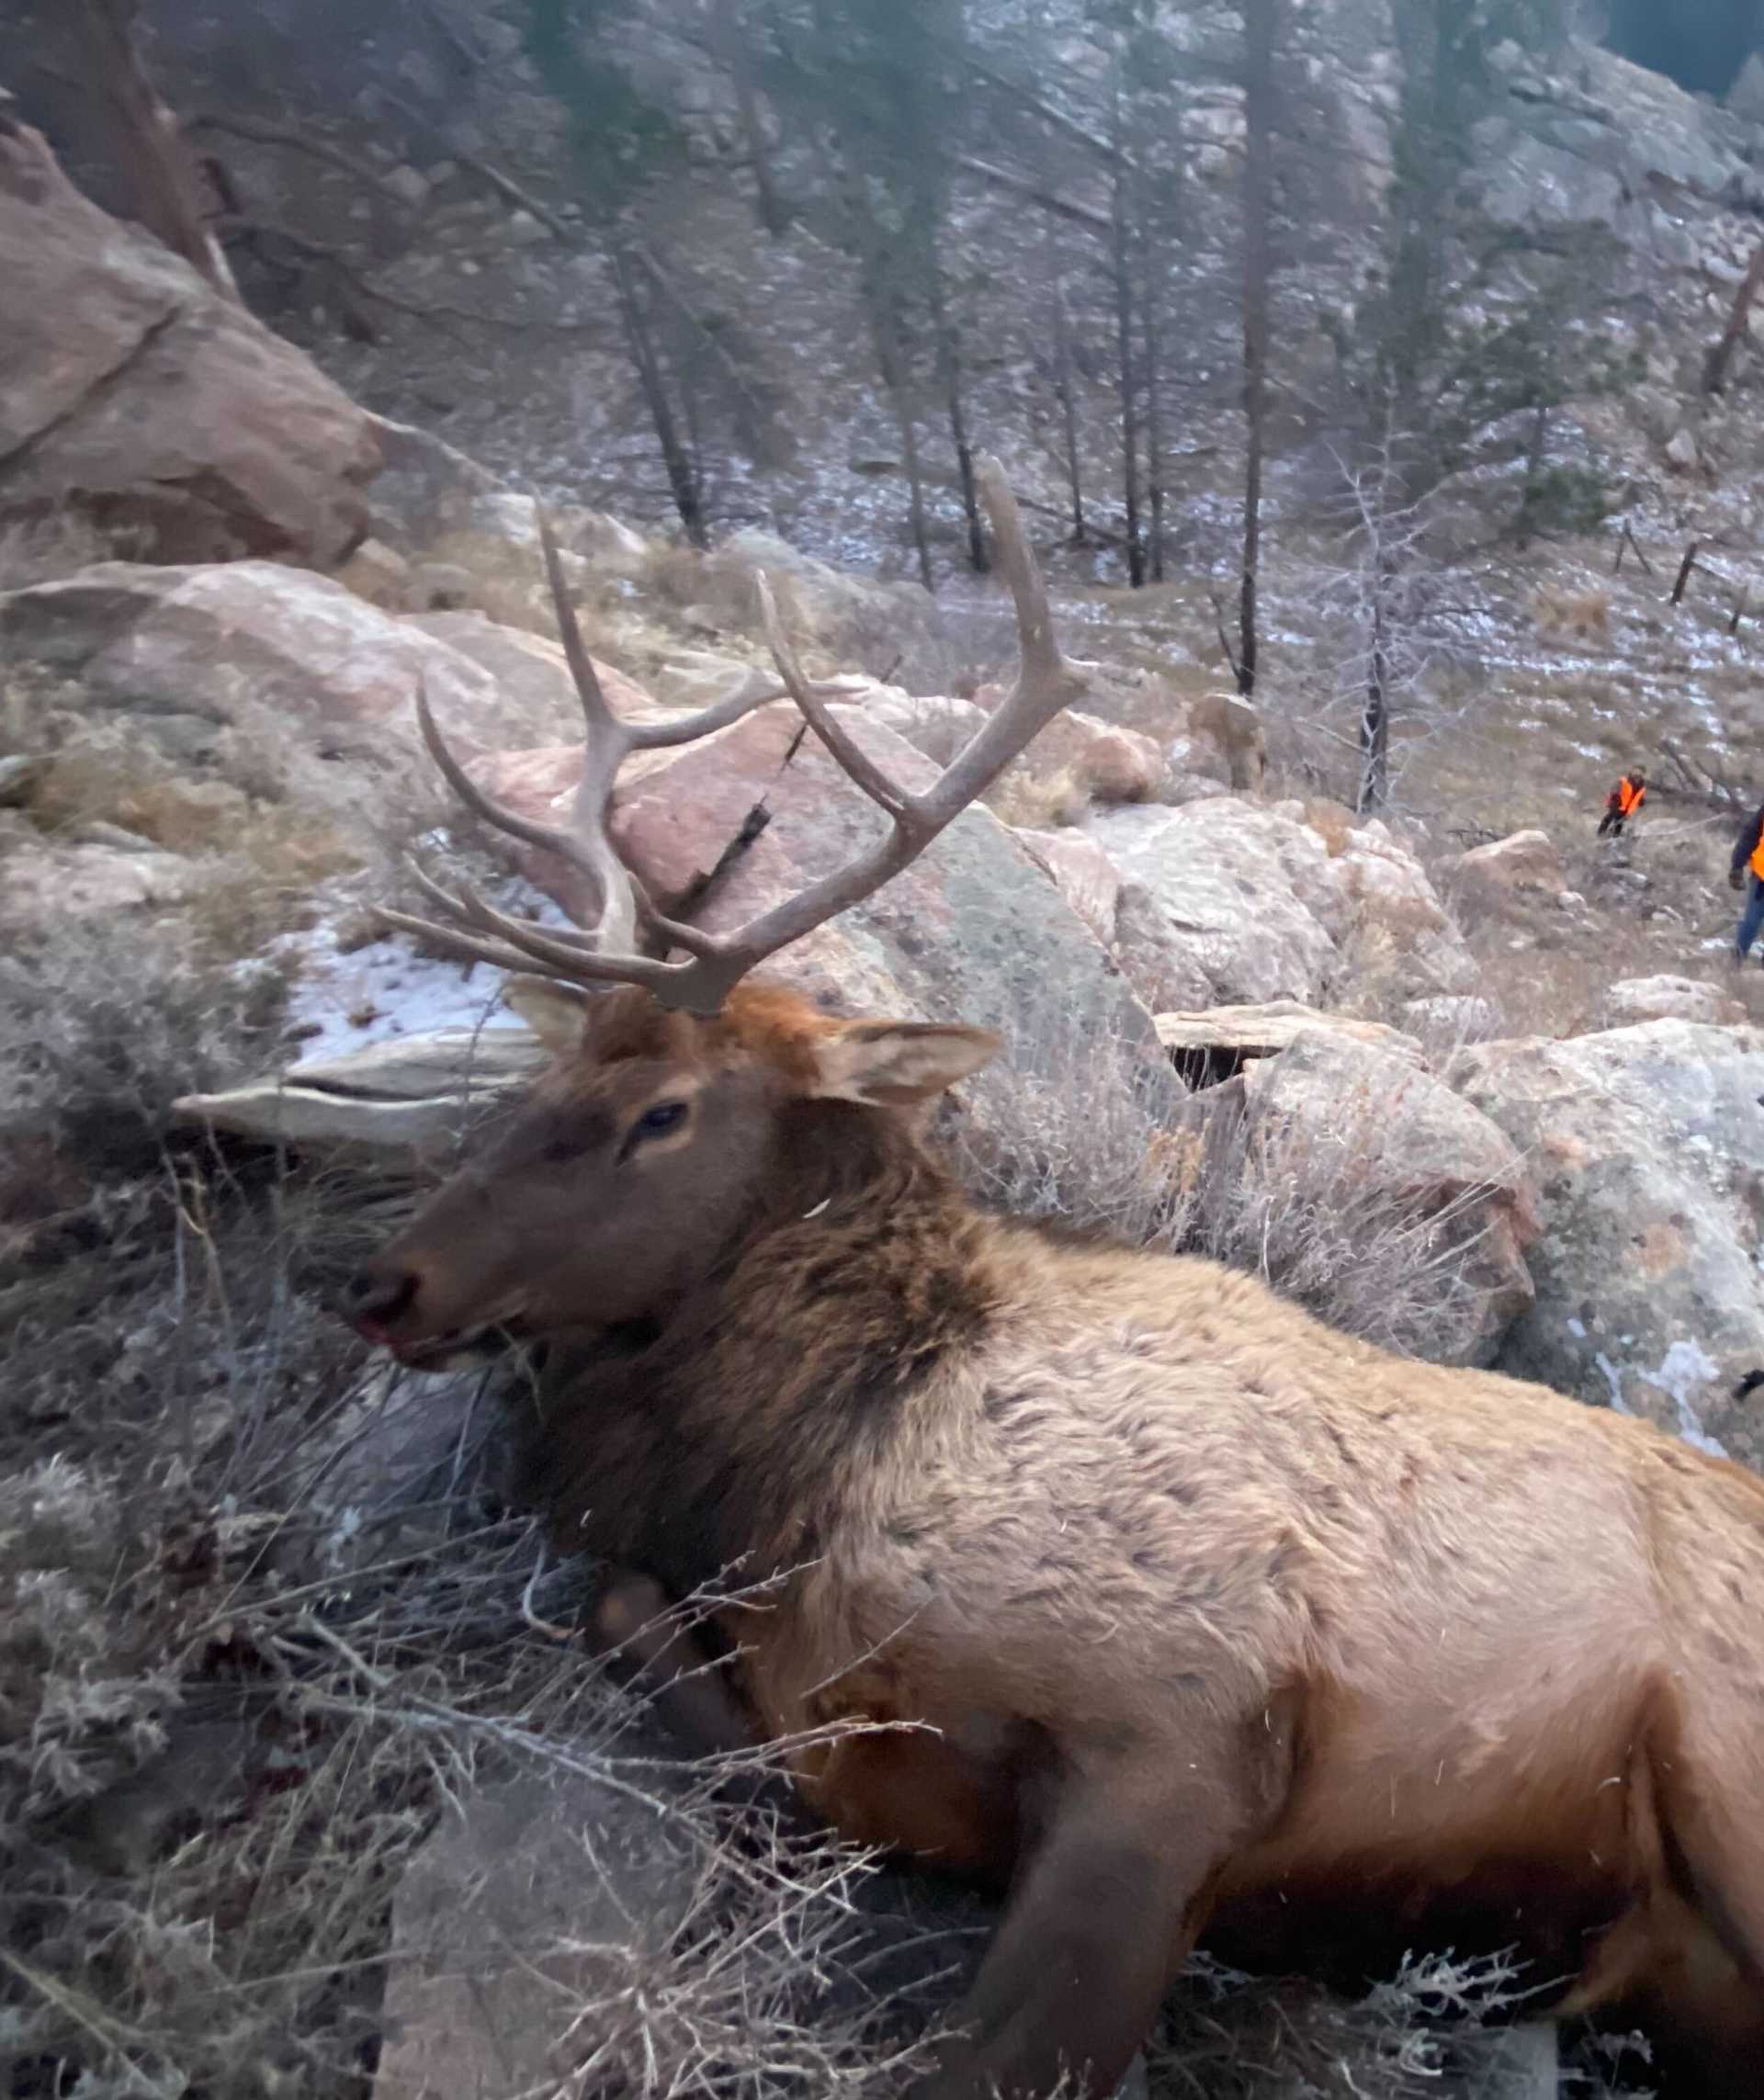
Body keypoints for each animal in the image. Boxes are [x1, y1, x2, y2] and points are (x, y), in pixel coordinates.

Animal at [340, 460, 1764, 2100]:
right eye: (555, 1068)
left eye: (664, 1112)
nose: (386, 1282)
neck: (817, 1465)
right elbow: (639, 1619)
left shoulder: (1183, 1730)